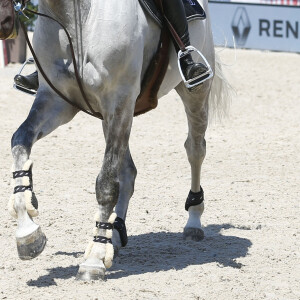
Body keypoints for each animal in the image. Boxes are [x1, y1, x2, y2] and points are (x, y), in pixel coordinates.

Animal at [0, 0, 230, 282]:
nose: (5, 23)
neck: (75, 20)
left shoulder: (119, 101)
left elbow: (107, 184)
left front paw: (94, 258)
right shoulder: (57, 102)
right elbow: (19, 142)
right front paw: (28, 233)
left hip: (193, 93)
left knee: (195, 150)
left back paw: (193, 221)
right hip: (106, 116)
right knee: (129, 171)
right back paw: (116, 233)